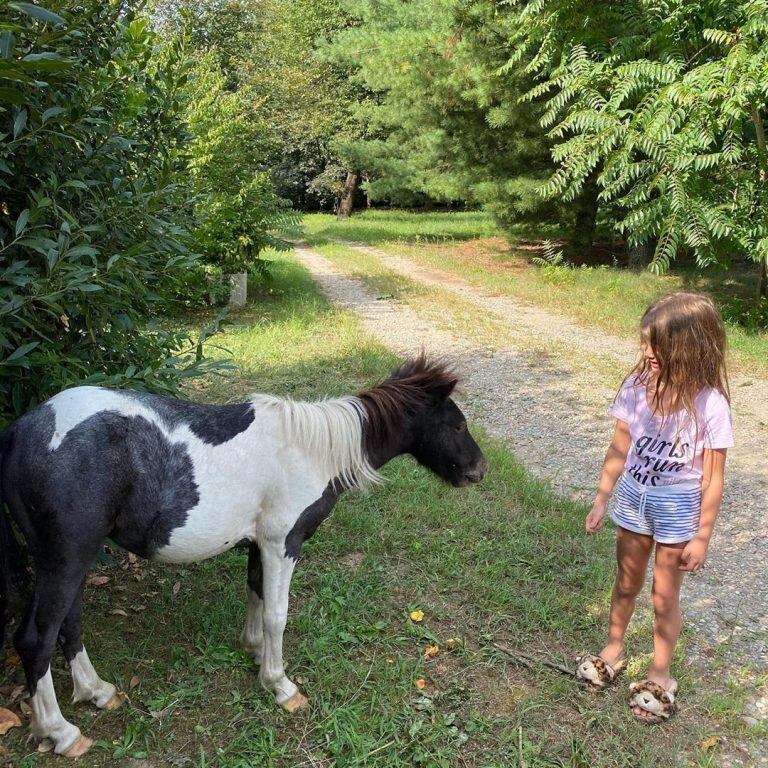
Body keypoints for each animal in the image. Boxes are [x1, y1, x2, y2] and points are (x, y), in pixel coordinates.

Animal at [0, 354, 486, 756]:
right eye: (458, 425)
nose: (479, 470)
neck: (313, 451)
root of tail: (20, 432)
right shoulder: (282, 544)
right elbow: (276, 614)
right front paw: (280, 684)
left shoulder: (260, 546)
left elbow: (255, 594)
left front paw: (254, 652)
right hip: (65, 561)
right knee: (36, 639)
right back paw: (62, 733)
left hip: (72, 562)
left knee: (69, 624)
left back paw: (96, 691)